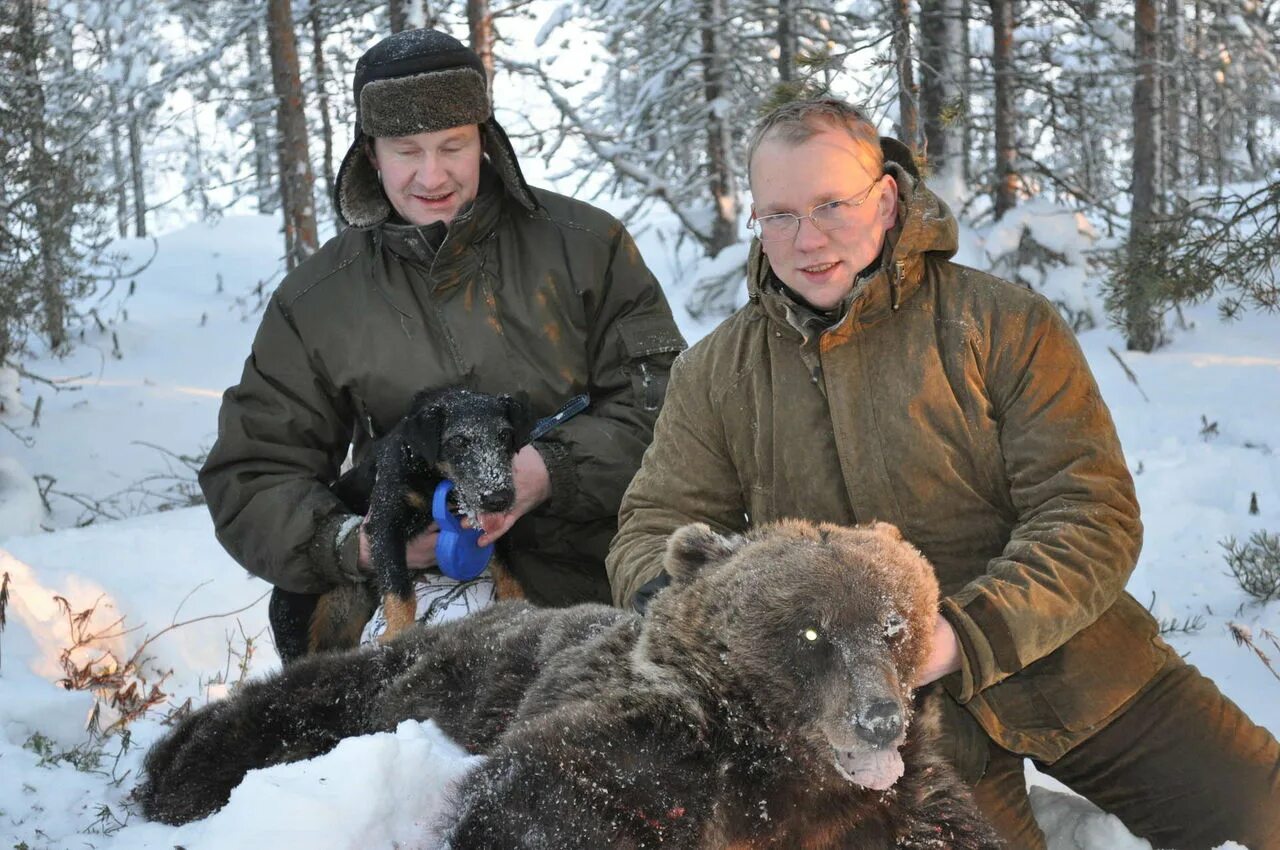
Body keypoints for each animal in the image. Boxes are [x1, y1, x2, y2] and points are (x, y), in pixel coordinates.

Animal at [307, 384, 537, 650]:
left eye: (505, 435)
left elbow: (508, 572)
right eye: (458, 441)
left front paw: (520, 608)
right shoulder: (385, 524)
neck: (433, 476)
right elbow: (399, 587)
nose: (499, 498)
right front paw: (398, 631)